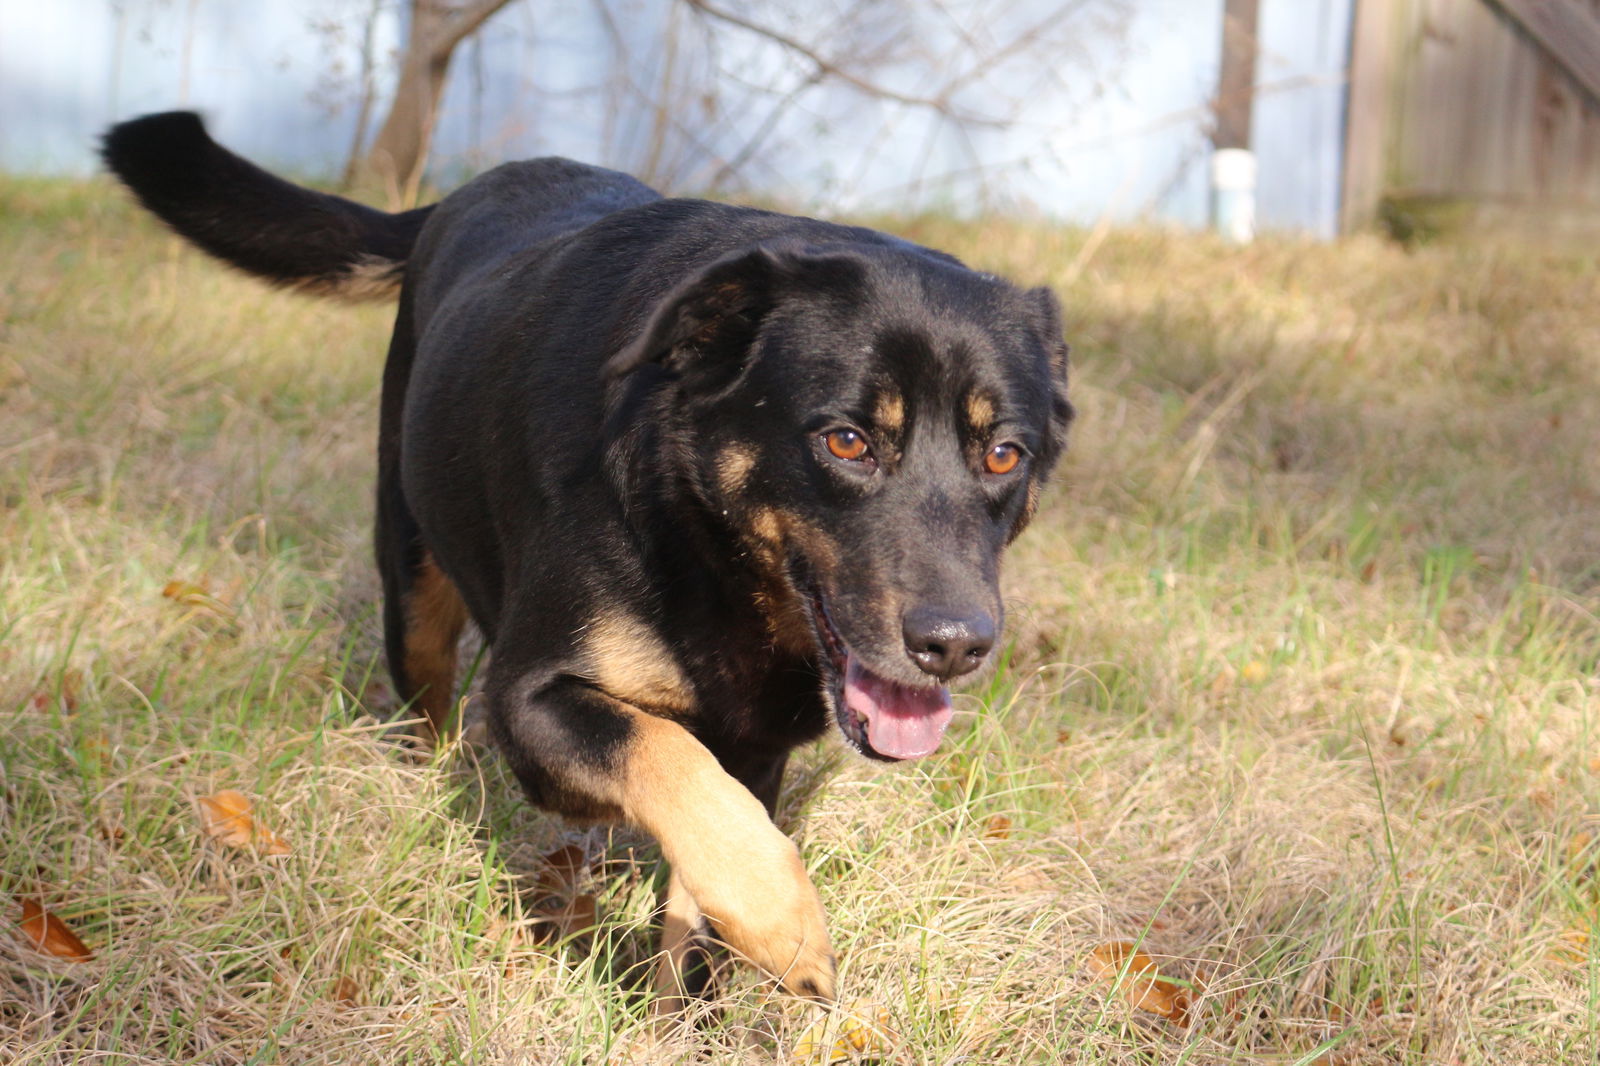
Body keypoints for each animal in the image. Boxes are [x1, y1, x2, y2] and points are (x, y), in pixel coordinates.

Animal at [100, 112, 1075, 998]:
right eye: (846, 441)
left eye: (1004, 455)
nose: (956, 645)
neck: (708, 551)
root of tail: (449, 200)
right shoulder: (531, 698)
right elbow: (665, 755)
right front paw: (784, 918)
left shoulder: (757, 747)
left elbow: (703, 867)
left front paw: (681, 1006)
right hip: (411, 576)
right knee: (426, 706)